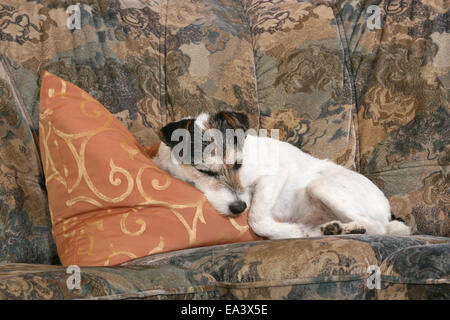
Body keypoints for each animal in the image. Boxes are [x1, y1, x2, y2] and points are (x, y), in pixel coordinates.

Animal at [153, 111, 414, 239]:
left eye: (238, 164)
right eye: (204, 171)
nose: (238, 207)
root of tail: (390, 210)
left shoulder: (272, 176)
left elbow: (257, 219)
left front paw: (287, 231)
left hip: (322, 187)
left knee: (378, 227)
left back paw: (350, 229)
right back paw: (330, 229)